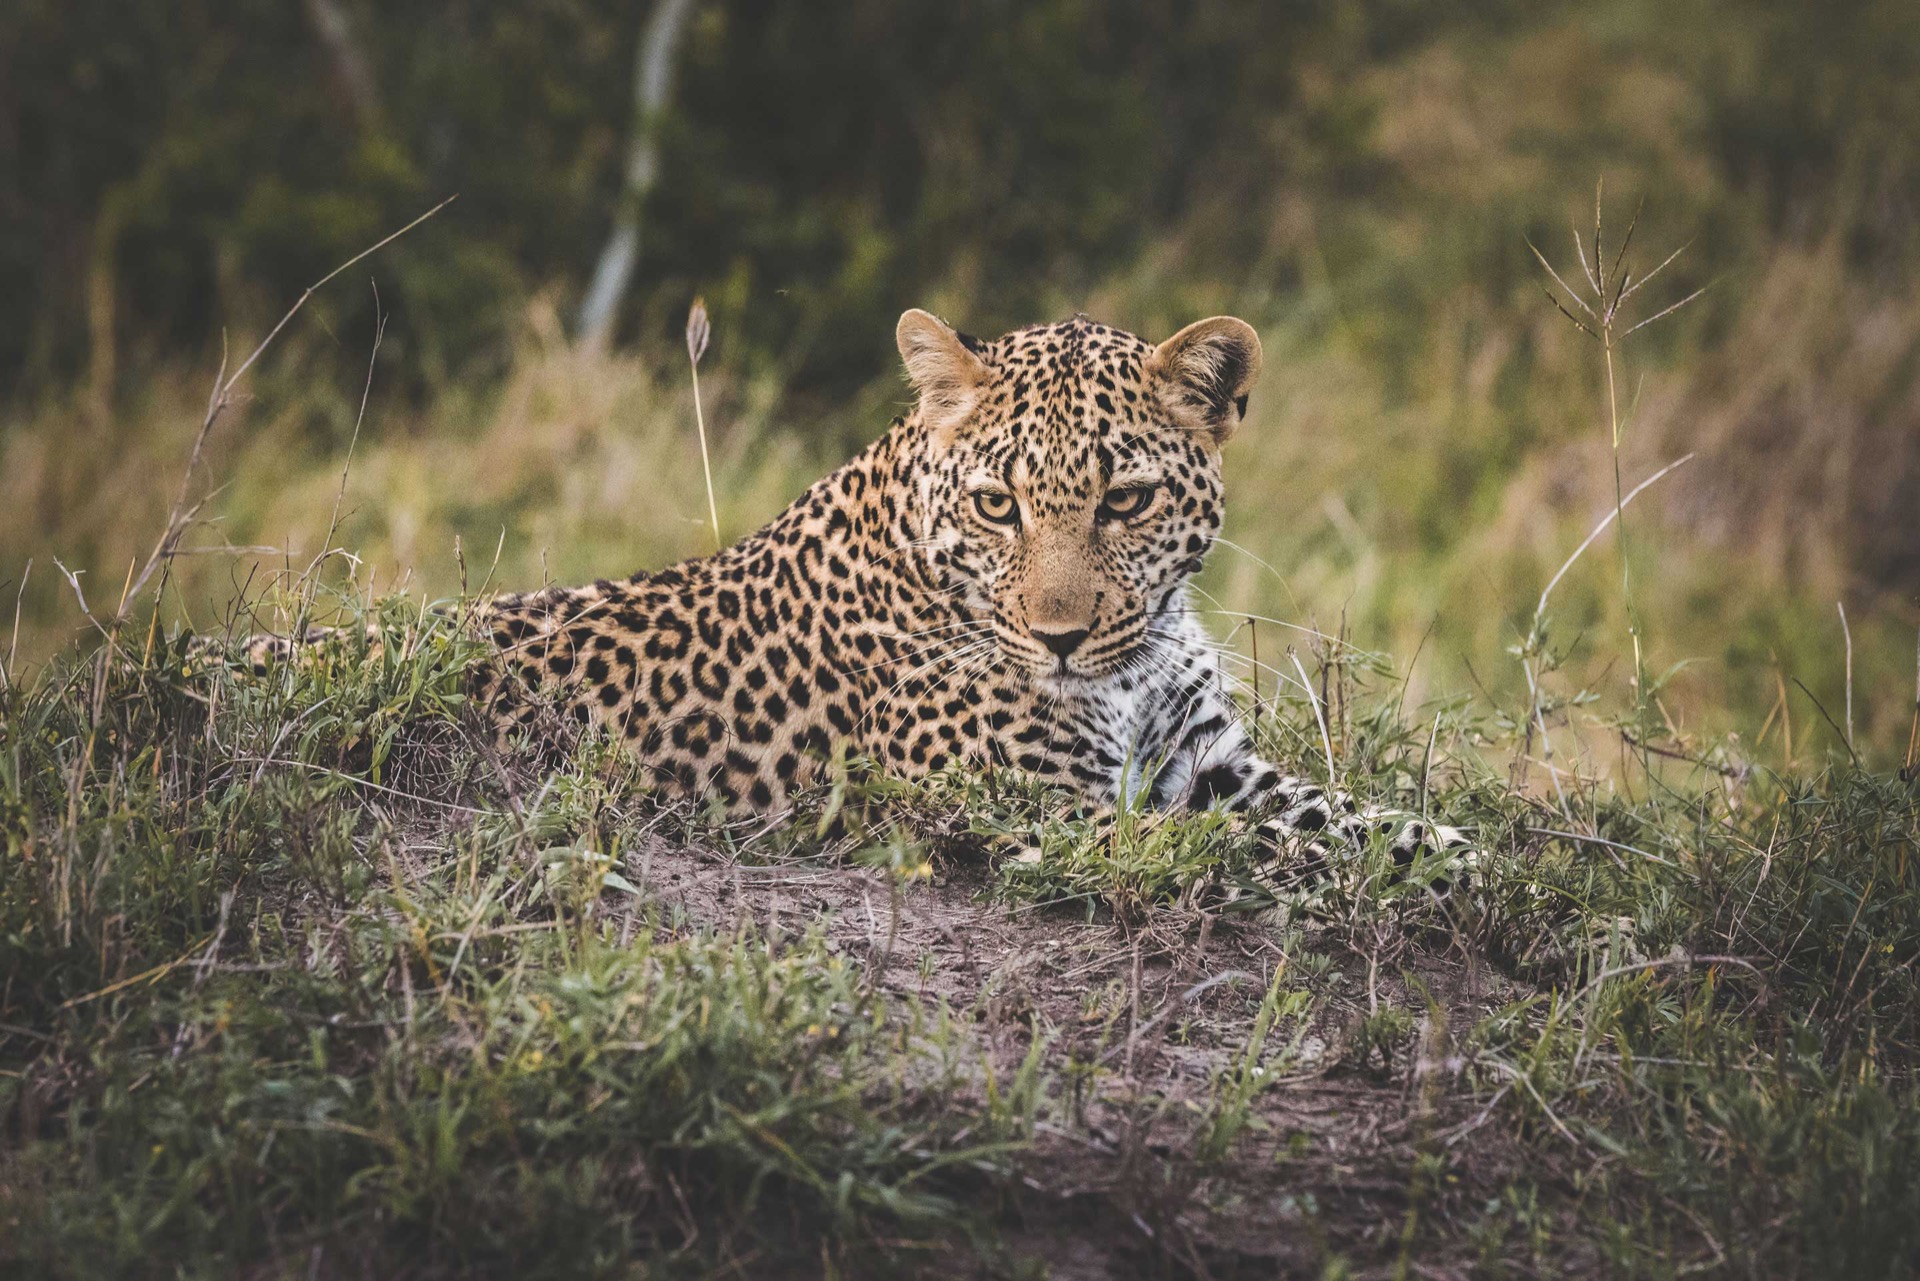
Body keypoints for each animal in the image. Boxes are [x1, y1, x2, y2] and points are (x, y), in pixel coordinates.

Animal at [228, 310, 1473, 890]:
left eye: (1124, 500)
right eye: (998, 505)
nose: (1061, 641)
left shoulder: (1205, 763)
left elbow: (1371, 824)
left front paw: (1472, 857)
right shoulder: (1044, 810)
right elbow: (1257, 854)